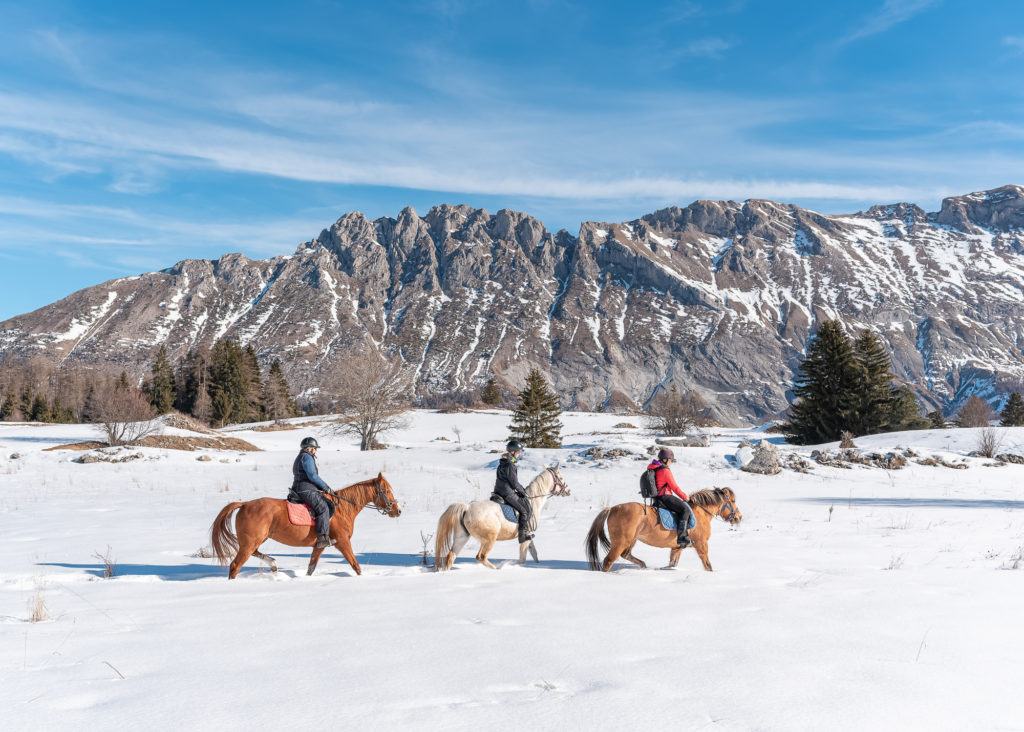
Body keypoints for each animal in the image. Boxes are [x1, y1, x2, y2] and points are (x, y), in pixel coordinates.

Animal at [210, 475, 399, 577]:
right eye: (387, 491)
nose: (398, 511)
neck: (342, 509)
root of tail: (244, 504)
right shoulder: (343, 542)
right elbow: (355, 564)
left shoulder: (320, 545)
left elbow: (311, 567)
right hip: (250, 542)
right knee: (235, 565)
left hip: (255, 540)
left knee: (255, 553)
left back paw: (273, 564)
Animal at [436, 464, 573, 573]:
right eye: (561, 478)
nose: (568, 491)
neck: (533, 502)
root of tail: (467, 508)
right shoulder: (525, 536)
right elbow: (522, 558)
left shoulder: (529, 536)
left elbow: (535, 554)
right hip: (489, 539)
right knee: (481, 557)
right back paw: (497, 569)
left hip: (462, 537)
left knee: (451, 556)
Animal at [589, 489, 741, 577]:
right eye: (733, 501)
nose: (739, 517)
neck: (701, 514)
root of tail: (612, 509)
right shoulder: (701, 544)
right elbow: (707, 565)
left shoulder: (677, 547)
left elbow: (673, 563)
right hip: (621, 542)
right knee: (609, 561)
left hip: (632, 540)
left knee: (626, 554)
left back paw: (643, 566)